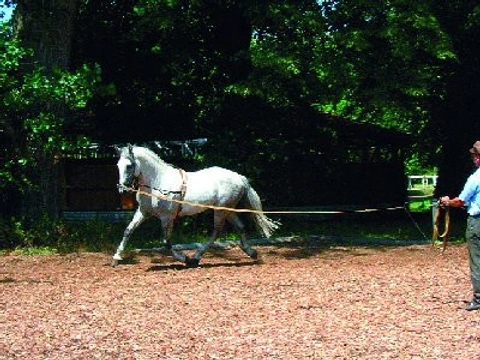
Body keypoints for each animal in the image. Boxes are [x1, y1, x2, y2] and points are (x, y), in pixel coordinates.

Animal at [112, 145, 278, 266]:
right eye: (118, 165)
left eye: (129, 165)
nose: (122, 189)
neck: (158, 182)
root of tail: (239, 177)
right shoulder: (143, 212)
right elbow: (128, 230)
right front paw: (116, 258)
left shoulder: (167, 217)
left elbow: (166, 243)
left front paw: (184, 259)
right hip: (227, 210)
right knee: (240, 227)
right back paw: (251, 252)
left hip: (220, 211)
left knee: (216, 232)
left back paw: (195, 257)